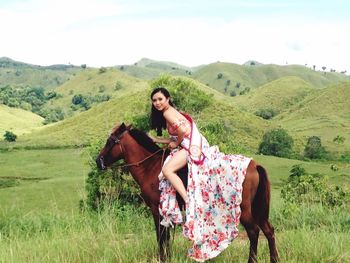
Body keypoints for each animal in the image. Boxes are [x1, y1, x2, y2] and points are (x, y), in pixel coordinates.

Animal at [95, 124, 278, 263]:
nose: (98, 161)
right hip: (258, 208)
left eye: (110, 141)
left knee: (253, 232)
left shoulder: (156, 209)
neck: (150, 167)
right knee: (268, 230)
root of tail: (254, 165)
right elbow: (166, 237)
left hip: (245, 210)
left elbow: (161, 236)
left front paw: (162, 258)